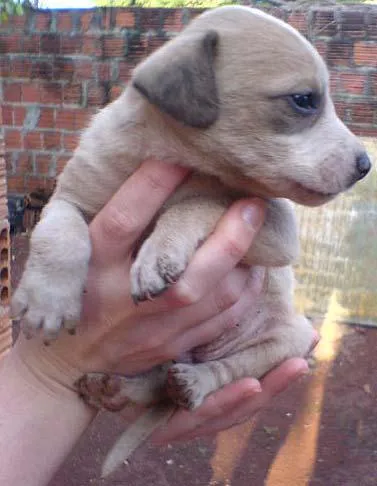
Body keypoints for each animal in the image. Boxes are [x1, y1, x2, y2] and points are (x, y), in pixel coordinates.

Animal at [12, 2, 370, 474]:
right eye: (304, 100)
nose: (366, 165)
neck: (177, 157)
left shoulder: (276, 230)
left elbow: (201, 202)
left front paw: (158, 253)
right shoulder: (69, 197)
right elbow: (61, 234)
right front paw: (48, 302)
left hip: (289, 340)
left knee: (223, 370)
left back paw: (192, 383)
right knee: (155, 380)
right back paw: (119, 388)